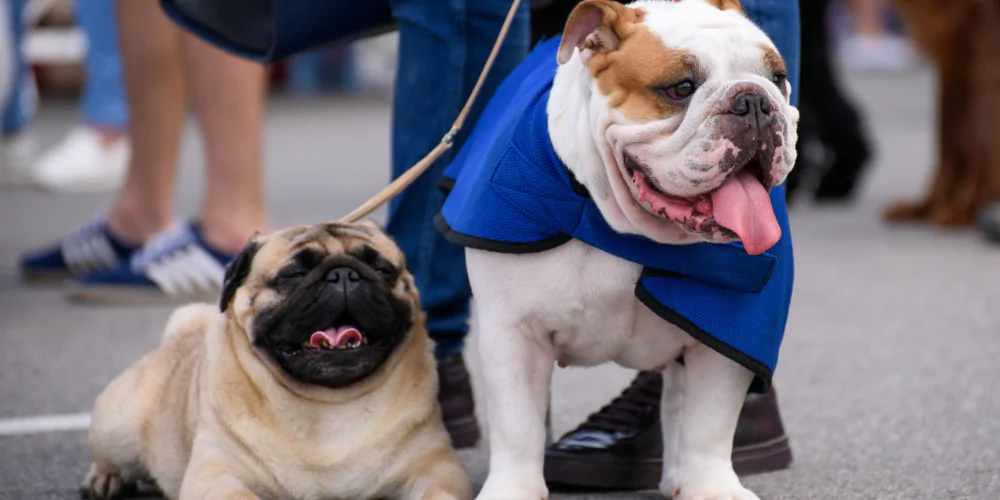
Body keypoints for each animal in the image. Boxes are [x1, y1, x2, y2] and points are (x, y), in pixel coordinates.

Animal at [884, 0, 1000, 227]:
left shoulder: (985, 34)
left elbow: (982, 140)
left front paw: (969, 208)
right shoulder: (949, 54)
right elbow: (949, 136)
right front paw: (927, 207)